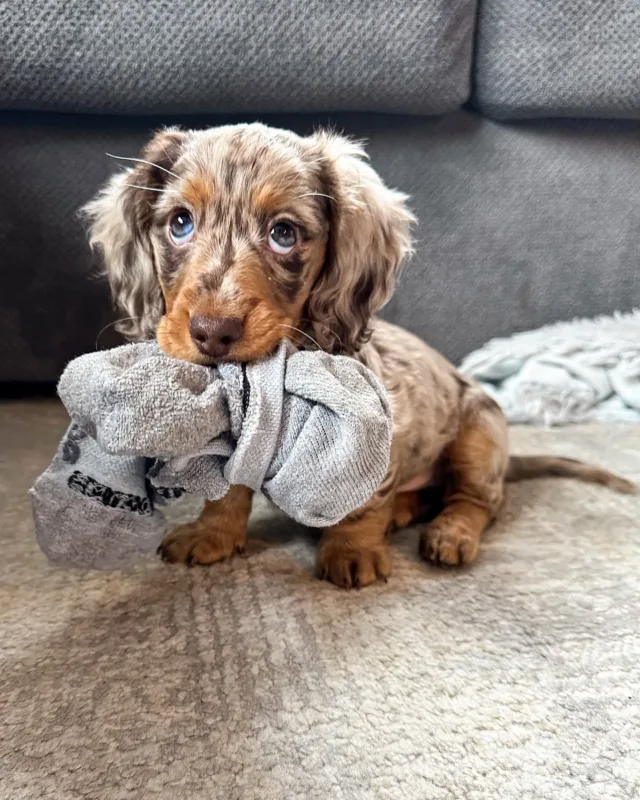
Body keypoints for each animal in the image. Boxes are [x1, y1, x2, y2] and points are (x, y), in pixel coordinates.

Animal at [84, 125, 636, 588]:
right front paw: (211, 534)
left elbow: (364, 501)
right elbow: (228, 491)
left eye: (283, 233)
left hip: (479, 437)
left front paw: (351, 550)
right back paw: (407, 510)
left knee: (476, 500)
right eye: (180, 223)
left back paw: (450, 532)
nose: (211, 333)